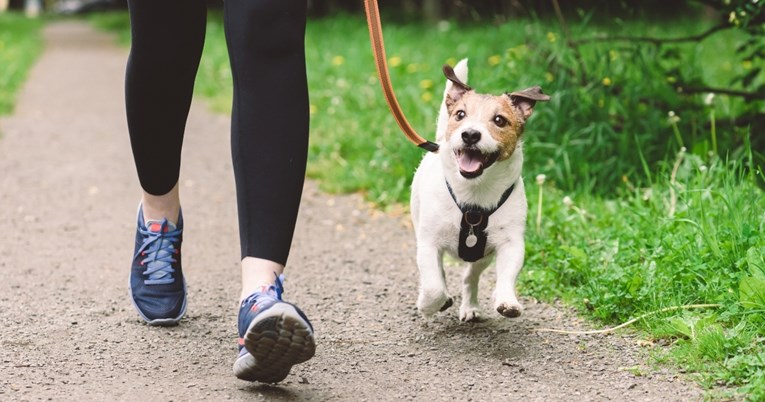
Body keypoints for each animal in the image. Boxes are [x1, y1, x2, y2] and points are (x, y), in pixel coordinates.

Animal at [412, 59, 548, 322]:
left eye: (500, 120)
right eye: (460, 115)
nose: (470, 134)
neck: (474, 194)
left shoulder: (510, 243)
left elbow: (506, 275)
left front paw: (507, 301)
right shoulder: (428, 242)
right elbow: (433, 286)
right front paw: (428, 304)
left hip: (482, 256)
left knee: (470, 277)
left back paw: (470, 306)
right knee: (439, 274)